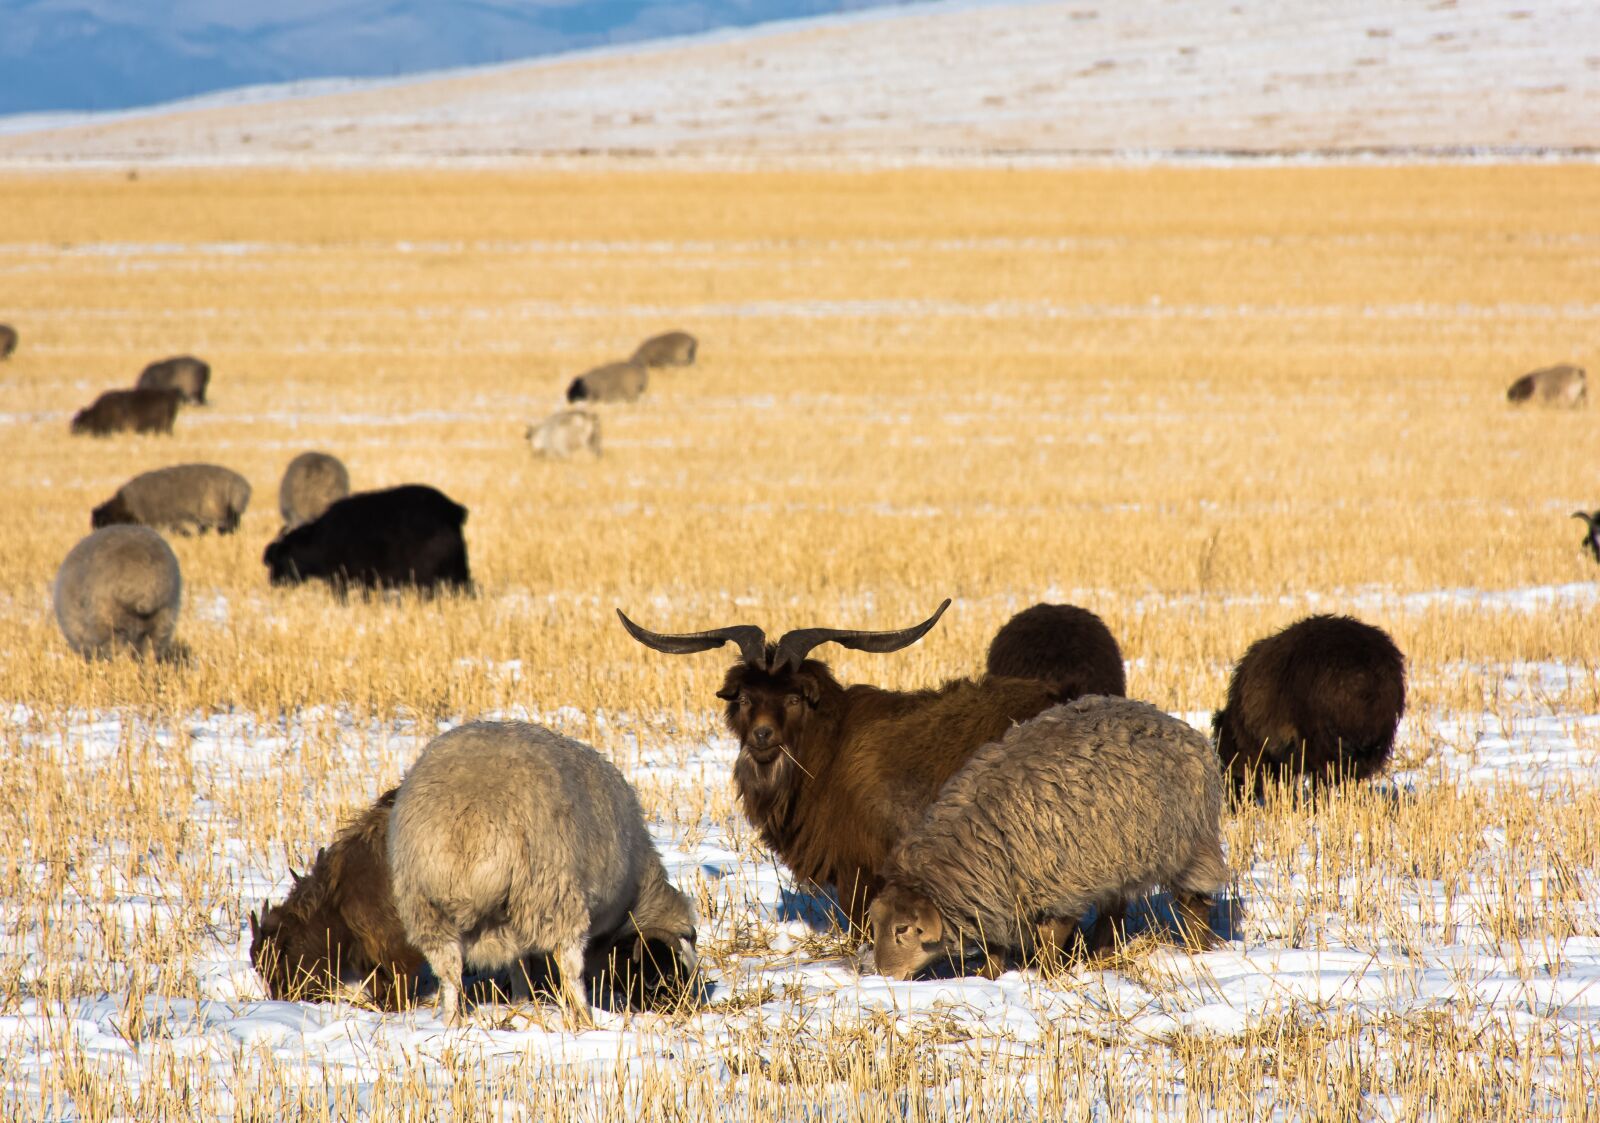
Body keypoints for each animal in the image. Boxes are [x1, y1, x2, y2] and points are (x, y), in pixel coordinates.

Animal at [262, 484, 471, 595]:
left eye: (280, 558)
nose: (273, 582)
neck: (318, 539)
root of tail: (452, 510)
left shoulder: (341, 581)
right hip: (458, 571)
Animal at [387, 721, 698, 1026]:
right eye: (669, 973)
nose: (687, 1009)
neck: (635, 891)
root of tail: (468, 826)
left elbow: (517, 963)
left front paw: (520, 1001)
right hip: (552, 895)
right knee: (570, 965)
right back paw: (585, 1019)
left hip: (425, 907)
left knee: (449, 970)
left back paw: (453, 1022)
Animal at [870, 696, 1227, 980]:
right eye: (875, 923)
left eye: (902, 928)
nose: (884, 975)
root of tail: (1172, 722)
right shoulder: (998, 896)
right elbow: (995, 947)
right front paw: (988, 976)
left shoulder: (1063, 884)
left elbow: (1051, 937)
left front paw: (1048, 975)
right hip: (1117, 856)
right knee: (1114, 909)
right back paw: (1102, 955)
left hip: (1192, 845)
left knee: (1193, 902)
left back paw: (1199, 948)